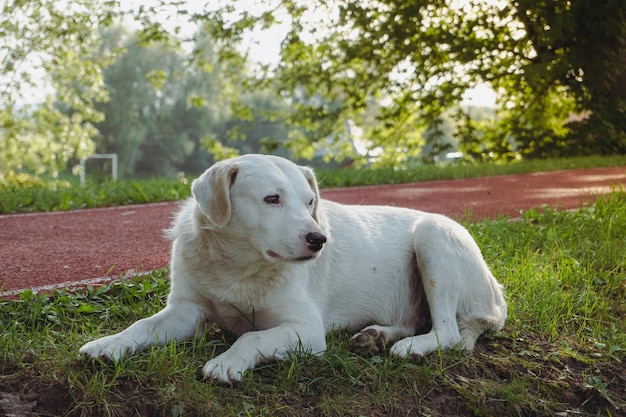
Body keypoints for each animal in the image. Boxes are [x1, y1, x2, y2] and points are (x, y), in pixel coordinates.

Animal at [79, 153, 508, 380]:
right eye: (272, 199)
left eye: (310, 202)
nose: (319, 240)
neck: (239, 266)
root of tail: (497, 295)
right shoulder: (185, 311)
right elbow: (141, 326)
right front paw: (109, 344)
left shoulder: (306, 329)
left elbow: (251, 338)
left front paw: (228, 361)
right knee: (418, 321)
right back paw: (376, 336)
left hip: (433, 235)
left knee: (447, 332)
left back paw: (412, 347)